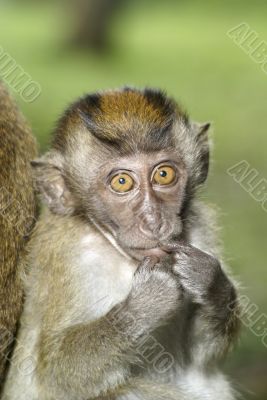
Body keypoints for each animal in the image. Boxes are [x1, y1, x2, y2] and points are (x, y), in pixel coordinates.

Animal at [2, 87, 241, 400]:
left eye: (164, 174)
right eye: (122, 182)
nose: (153, 221)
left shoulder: (200, 230)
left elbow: (201, 357)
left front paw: (210, 282)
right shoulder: (67, 254)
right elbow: (57, 374)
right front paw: (145, 304)